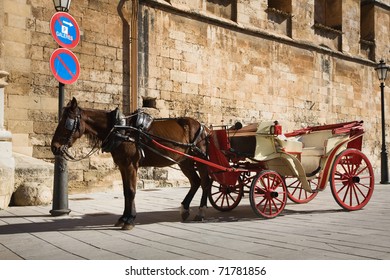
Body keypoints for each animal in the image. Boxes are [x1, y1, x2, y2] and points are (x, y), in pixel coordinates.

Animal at [51, 98, 212, 230]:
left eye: (67, 122)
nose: (54, 147)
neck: (120, 129)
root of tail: (205, 128)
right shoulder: (122, 165)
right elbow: (125, 191)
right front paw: (123, 218)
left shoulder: (131, 165)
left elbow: (131, 191)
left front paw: (129, 220)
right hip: (185, 161)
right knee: (195, 182)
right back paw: (185, 209)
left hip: (201, 161)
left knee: (205, 183)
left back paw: (201, 211)